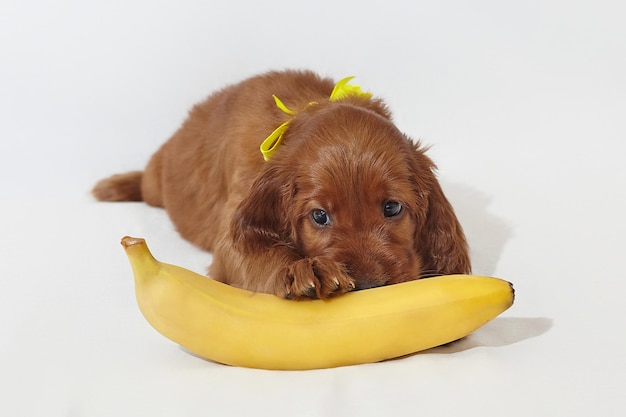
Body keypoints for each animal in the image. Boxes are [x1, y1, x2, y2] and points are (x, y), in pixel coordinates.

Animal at [94, 71, 468, 300]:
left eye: (392, 207)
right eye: (319, 216)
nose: (367, 287)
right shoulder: (232, 233)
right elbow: (259, 251)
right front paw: (303, 268)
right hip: (159, 177)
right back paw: (114, 186)